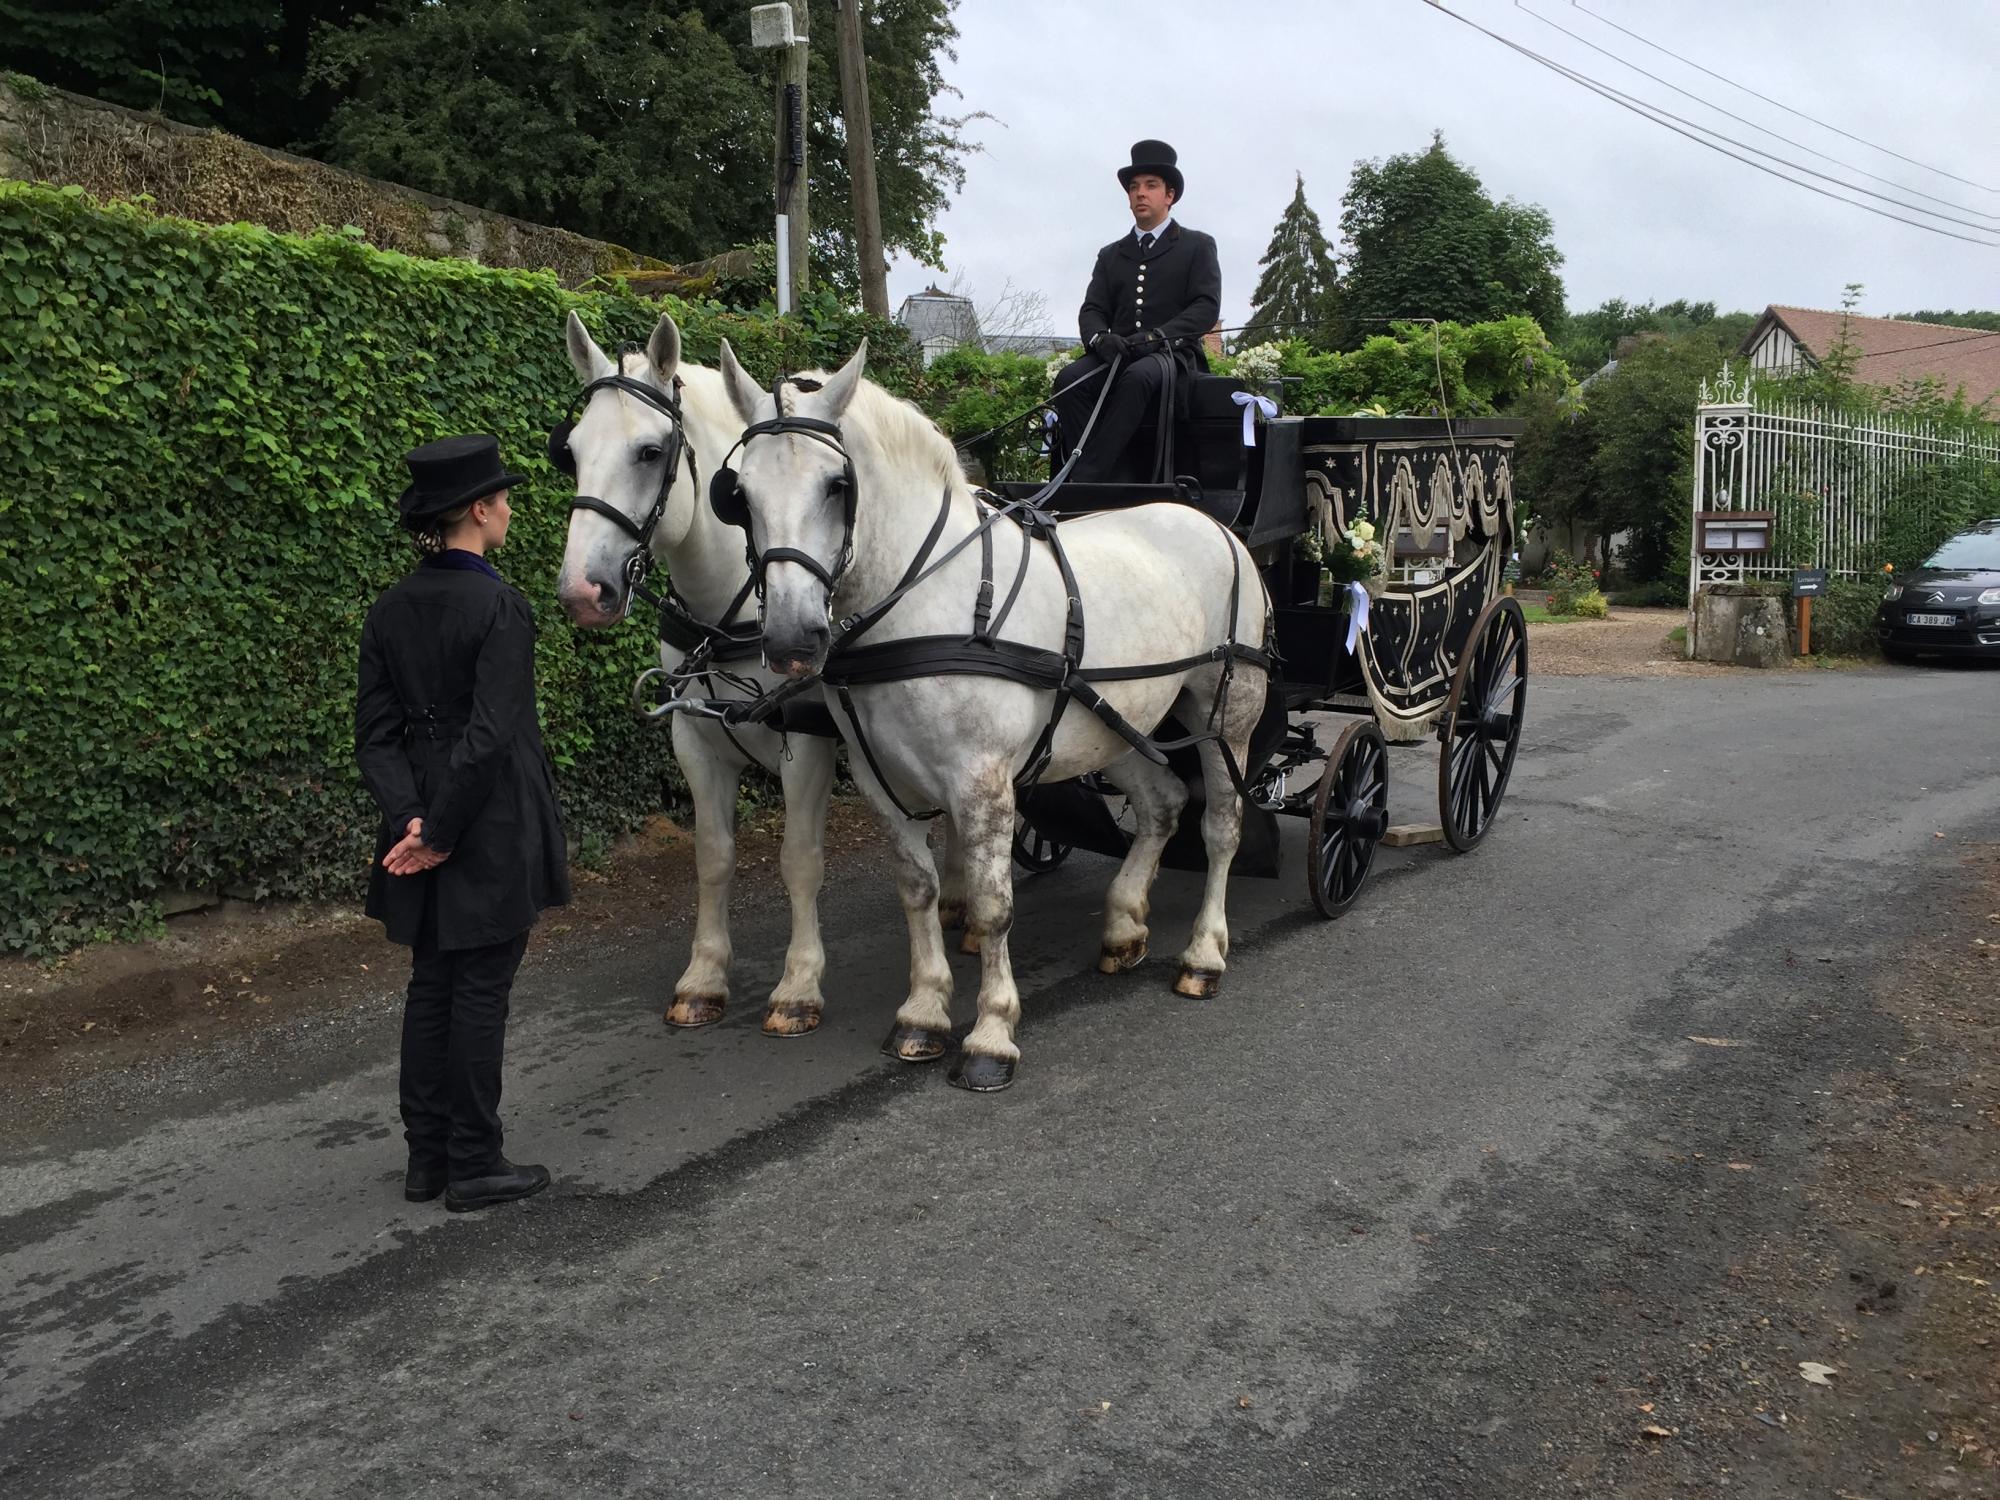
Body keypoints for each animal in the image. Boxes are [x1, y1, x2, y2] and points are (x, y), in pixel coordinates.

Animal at [560, 306, 840, 1032]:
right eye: (568, 450)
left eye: (650, 452)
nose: (582, 591)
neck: (730, 613)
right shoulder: (695, 740)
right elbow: (712, 856)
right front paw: (704, 976)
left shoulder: (808, 743)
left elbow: (800, 859)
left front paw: (800, 984)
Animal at [716, 340, 1264, 1096]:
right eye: (738, 494)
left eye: (836, 485)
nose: (794, 638)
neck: (928, 599)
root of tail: (1210, 521)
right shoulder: (882, 780)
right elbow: (918, 890)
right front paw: (923, 1011)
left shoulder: (981, 784)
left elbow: (991, 903)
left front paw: (992, 1033)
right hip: (1117, 722)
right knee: (1164, 803)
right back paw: (1125, 924)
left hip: (1227, 710)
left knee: (1221, 825)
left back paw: (1204, 953)